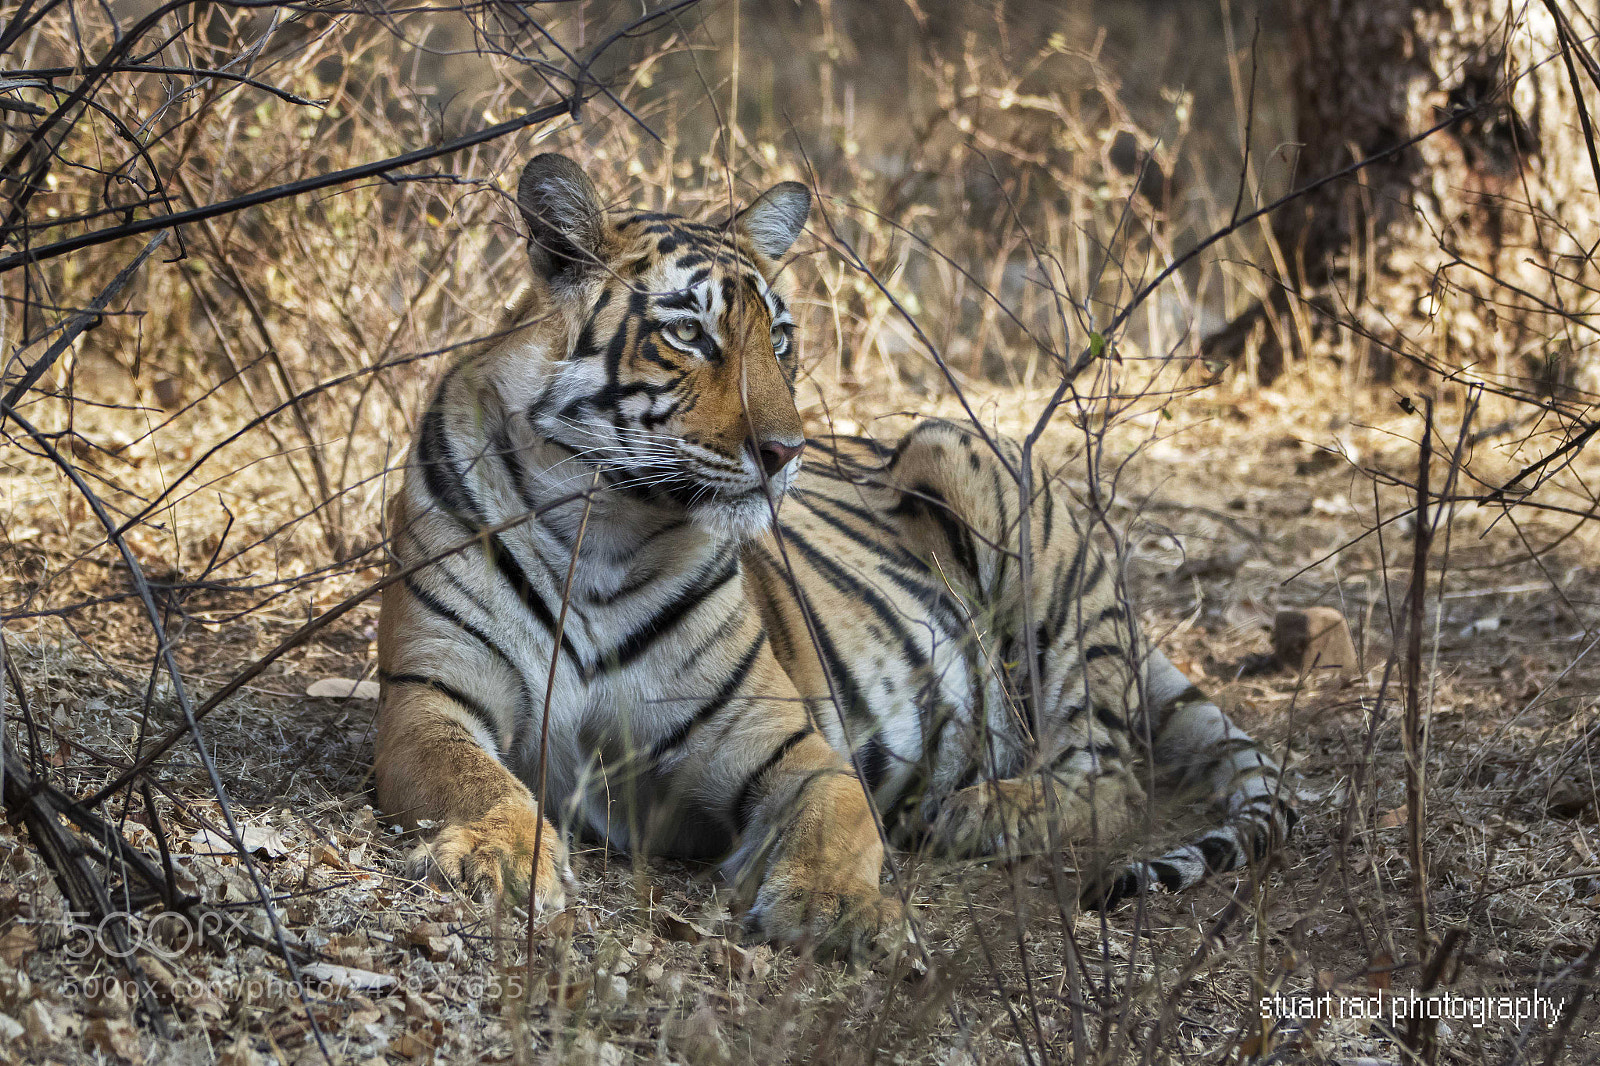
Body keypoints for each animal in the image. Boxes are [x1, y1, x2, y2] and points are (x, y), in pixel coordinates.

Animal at [373, 152, 1296, 952]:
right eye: (690, 333)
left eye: (779, 338)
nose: (787, 451)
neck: (601, 529)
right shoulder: (427, 696)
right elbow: (478, 778)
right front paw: (495, 857)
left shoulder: (784, 741)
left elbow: (837, 817)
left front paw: (835, 907)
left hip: (971, 460)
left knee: (1112, 776)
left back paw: (981, 813)